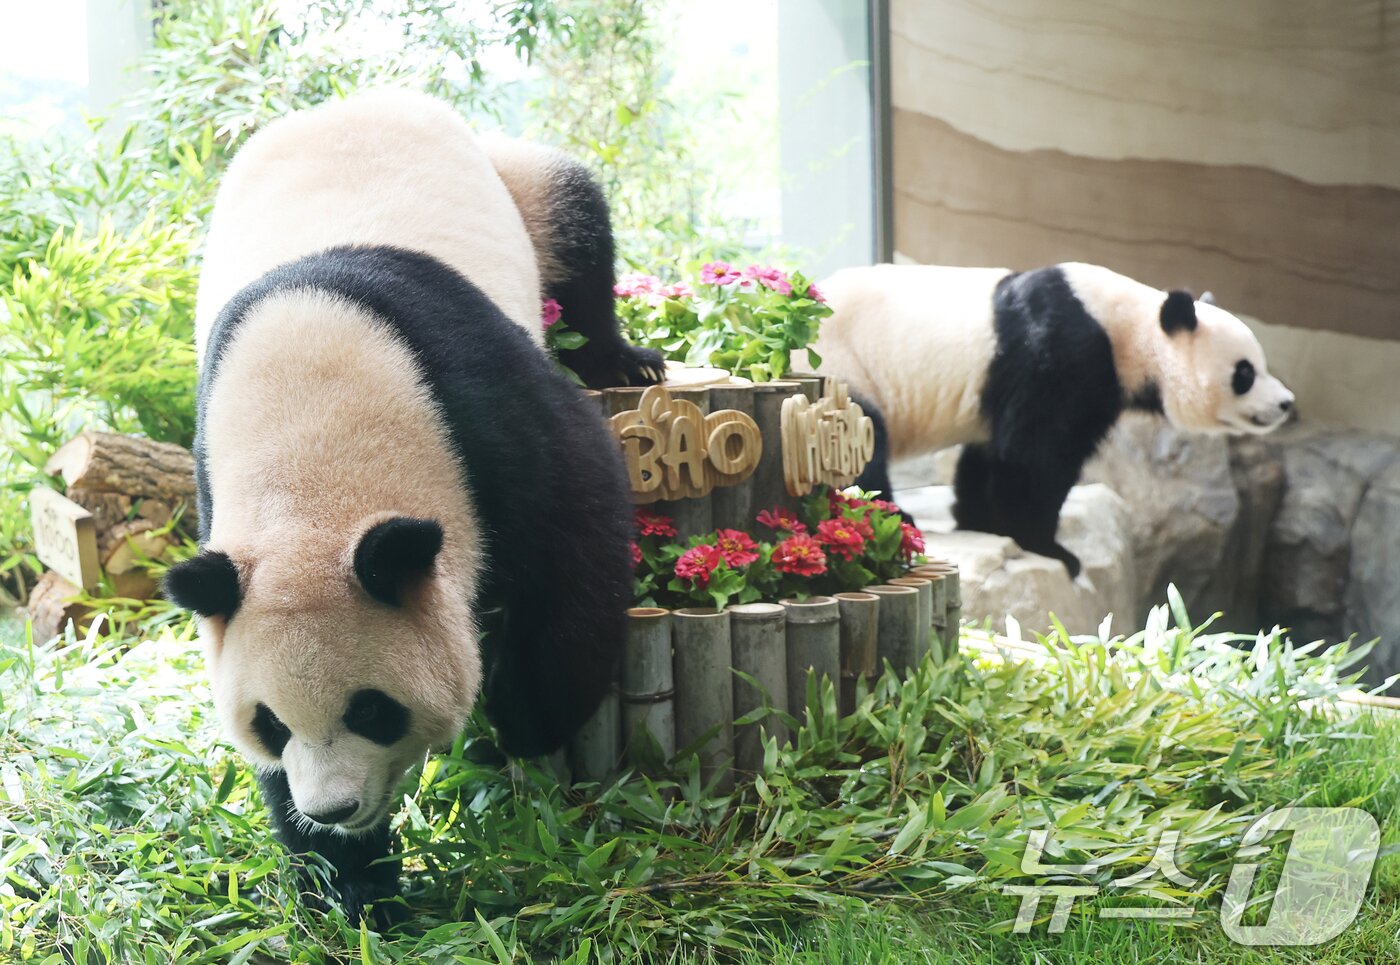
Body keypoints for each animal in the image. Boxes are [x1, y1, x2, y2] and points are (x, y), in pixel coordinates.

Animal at [166, 90, 639, 923]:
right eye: (269, 722)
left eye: (371, 709)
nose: (333, 808)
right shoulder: (217, 488)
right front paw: (355, 889)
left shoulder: (477, 406)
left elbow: (580, 527)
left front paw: (518, 719)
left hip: (514, 184)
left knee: (574, 215)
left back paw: (620, 355)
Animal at [813, 262, 1295, 577]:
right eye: (1245, 373)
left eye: (1260, 364)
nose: (1286, 403)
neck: (1128, 324)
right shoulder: (1062, 352)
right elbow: (1036, 457)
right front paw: (1051, 548)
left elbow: (991, 455)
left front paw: (981, 522)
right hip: (843, 366)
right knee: (856, 443)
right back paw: (892, 515)